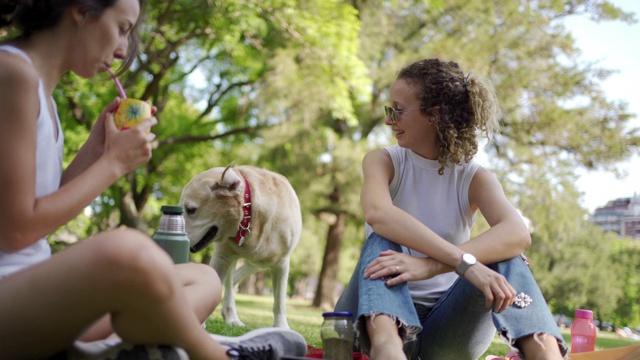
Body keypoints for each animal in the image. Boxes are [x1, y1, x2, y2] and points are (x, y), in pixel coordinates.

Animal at [179, 165, 302, 328]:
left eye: (191, 210)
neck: (249, 217)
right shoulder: (222, 257)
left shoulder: (281, 263)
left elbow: (280, 301)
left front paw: (281, 326)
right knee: (231, 281)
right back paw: (231, 315)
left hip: (258, 263)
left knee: (236, 278)